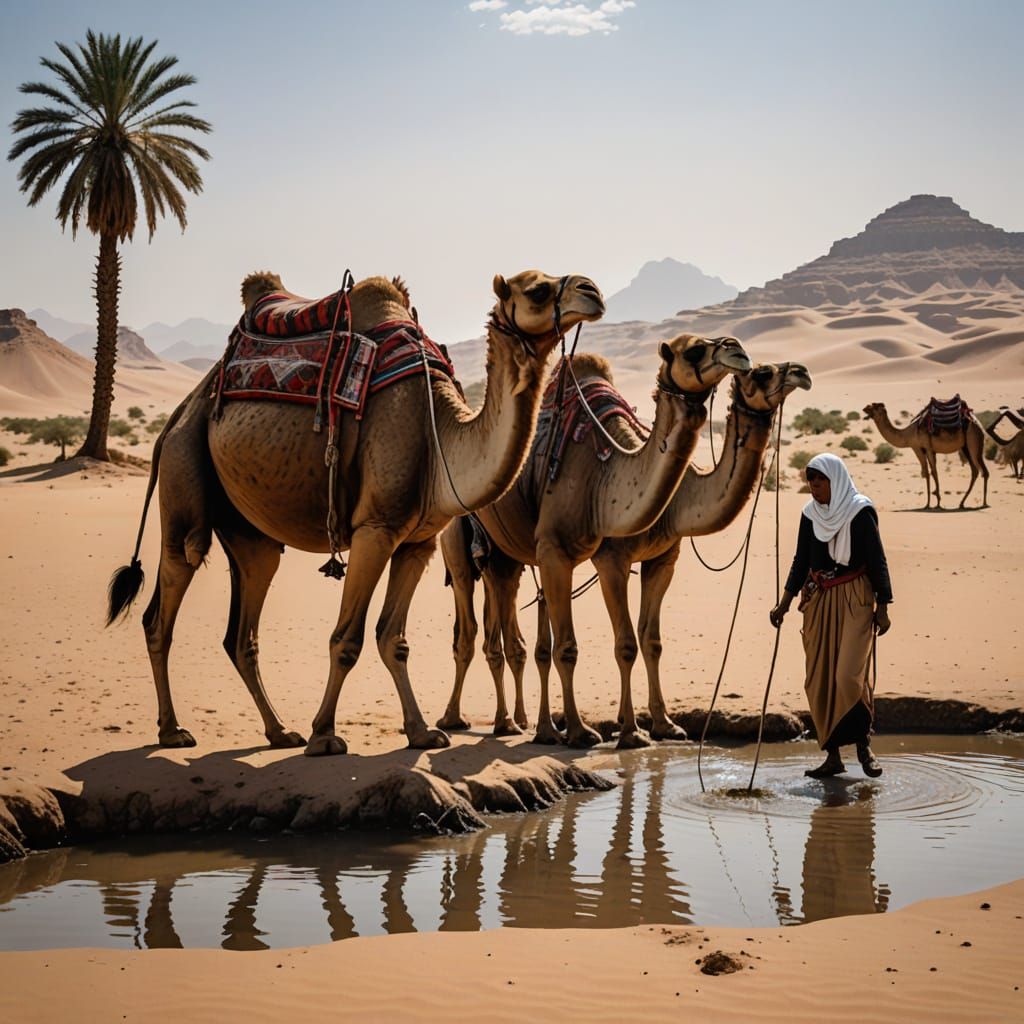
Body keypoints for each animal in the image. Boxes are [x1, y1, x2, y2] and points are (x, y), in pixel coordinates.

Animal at [108, 269, 605, 756]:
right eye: (537, 289)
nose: (592, 291)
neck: (439, 438)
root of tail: (178, 414)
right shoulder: (375, 529)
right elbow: (347, 639)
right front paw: (324, 735)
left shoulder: (418, 542)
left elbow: (393, 639)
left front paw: (421, 732)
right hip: (184, 466)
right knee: (168, 595)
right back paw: (173, 730)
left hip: (249, 531)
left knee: (243, 625)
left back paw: (279, 732)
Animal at [440, 362, 809, 747]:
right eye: (762, 373)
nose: (800, 372)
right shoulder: (612, 560)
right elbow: (626, 644)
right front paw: (630, 731)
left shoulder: (662, 559)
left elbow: (651, 640)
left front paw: (664, 724)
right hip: (470, 553)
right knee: (475, 630)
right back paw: (474, 720)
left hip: (512, 559)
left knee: (519, 636)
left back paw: (533, 725)